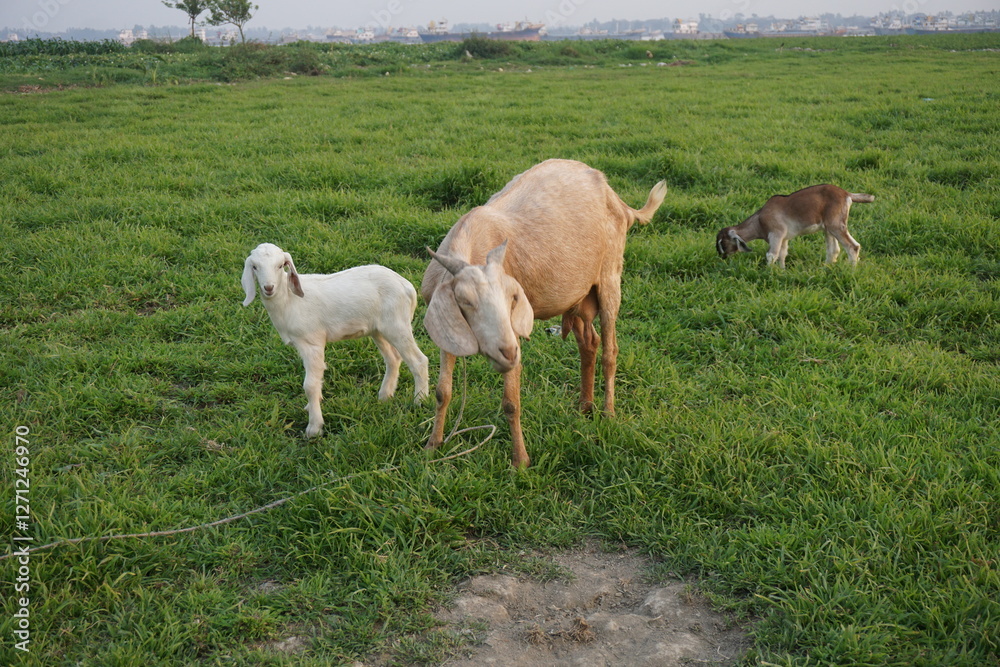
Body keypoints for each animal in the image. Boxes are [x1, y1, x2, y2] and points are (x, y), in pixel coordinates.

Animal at [241, 243, 429, 438]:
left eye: (280, 266)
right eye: (254, 267)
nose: (268, 287)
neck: (289, 301)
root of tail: (407, 286)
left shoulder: (312, 342)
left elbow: (310, 385)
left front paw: (314, 428)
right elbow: (316, 381)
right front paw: (312, 407)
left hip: (397, 325)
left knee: (419, 361)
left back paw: (420, 401)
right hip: (378, 329)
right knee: (393, 358)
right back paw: (385, 395)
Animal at [421, 159, 667, 468]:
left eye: (513, 298)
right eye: (464, 301)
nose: (507, 353)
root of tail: (617, 200)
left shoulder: (513, 332)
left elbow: (511, 402)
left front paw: (520, 462)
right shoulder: (451, 332)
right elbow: (443, 392)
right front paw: (432, 446)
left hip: (610, 275)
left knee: (610, 350)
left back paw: (608, 414)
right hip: (578, 296)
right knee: (589, 343)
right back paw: (584, 407)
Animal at [716, 184, 875, 268]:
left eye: (723, 243)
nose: (722, 257)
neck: (759, 221)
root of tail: (846, 194)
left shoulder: (776, 234)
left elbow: (771, 255)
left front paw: (769, 273)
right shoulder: (784, 238)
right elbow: (782, 254)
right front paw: (781, 271)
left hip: (836, 225)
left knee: (852, 246)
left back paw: (852, 270)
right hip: (828, 228)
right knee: (833, 250)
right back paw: (826, 268)